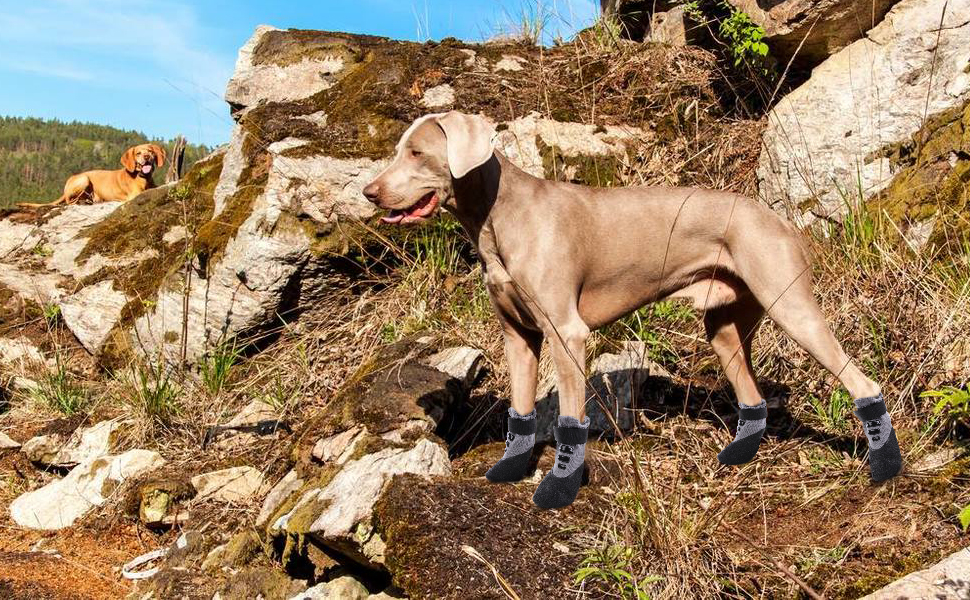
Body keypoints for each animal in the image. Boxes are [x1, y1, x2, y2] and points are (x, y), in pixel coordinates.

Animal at [18, 144, 166, 210]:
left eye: (150, 151)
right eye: (138, 153)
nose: (146, 157)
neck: (143, 177)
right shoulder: (133, 195)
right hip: (84, 179)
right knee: (69, 201)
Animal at [362, 111, 900, 506]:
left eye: (416, 152)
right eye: (397, 151)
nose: (369, 193)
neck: (499, 216)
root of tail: (778, 218)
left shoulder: (565, 332)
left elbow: (569, 420)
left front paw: (559, 488)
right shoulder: (518, 336)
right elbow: (520, 410)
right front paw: (511, 466)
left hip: (791, 305)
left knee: (862, 382)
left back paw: (885, 464)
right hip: (724, 325)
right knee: (751, 394)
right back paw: (739, 450)